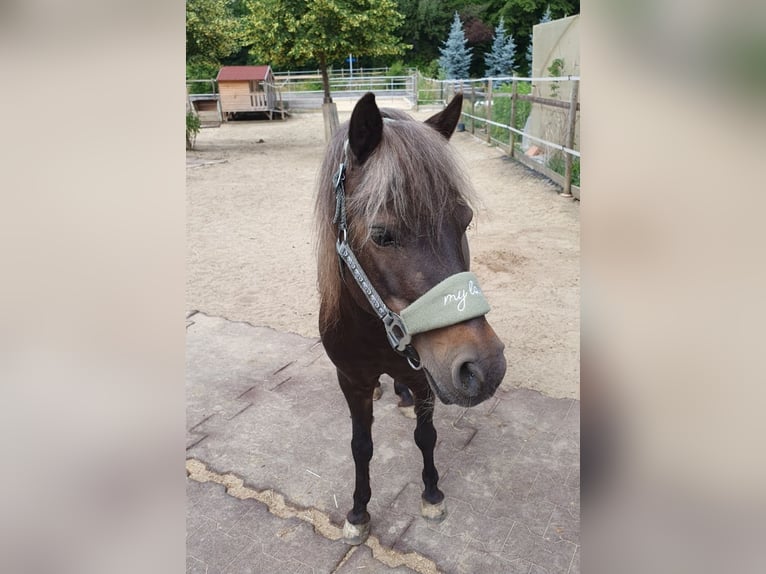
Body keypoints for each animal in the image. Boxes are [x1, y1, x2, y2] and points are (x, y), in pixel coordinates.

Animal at [315, 92, 507, 545]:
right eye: (382, 235)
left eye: (465, 221)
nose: (484, 367)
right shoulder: (350, 380)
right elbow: (360, 446)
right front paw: (358, 512)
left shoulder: (424, 380)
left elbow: (426, 436)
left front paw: (432, 494)